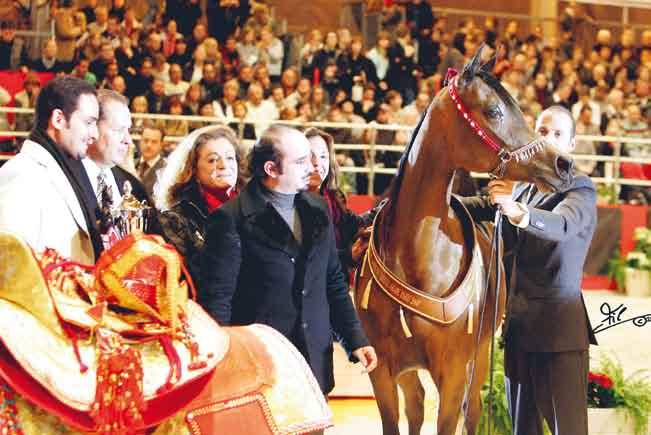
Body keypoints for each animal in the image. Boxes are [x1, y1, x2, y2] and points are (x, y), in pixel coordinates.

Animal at [354, 45, 572, 435]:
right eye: (494, 111)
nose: (562, 164)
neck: (417, 255)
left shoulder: (454, 373)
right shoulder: (381, 371)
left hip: (479, 358)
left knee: (472, 412)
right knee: (416, 404)